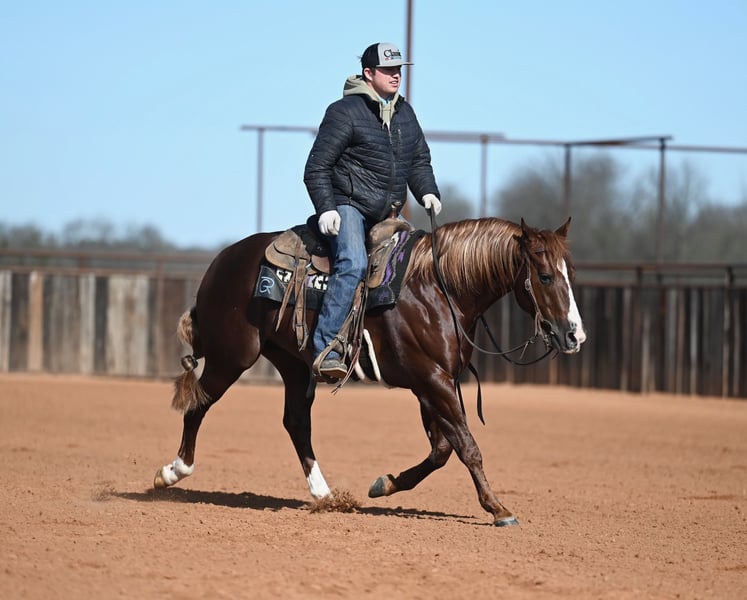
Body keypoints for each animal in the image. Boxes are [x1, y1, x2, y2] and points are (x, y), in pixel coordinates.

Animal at [154, 216, 586, 526]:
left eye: (572, 273)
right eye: (545, 276)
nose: (574, 334)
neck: (437, 289)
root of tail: (221, 260)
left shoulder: (434, 383)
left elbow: (442, 449)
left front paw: (385, 484)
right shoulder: (433, 381)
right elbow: (467, 447)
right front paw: (498, 508)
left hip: (294, 365)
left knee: (296, 423)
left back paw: (325, 495)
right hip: (231, 357)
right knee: (199, 405)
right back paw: (173, 472)